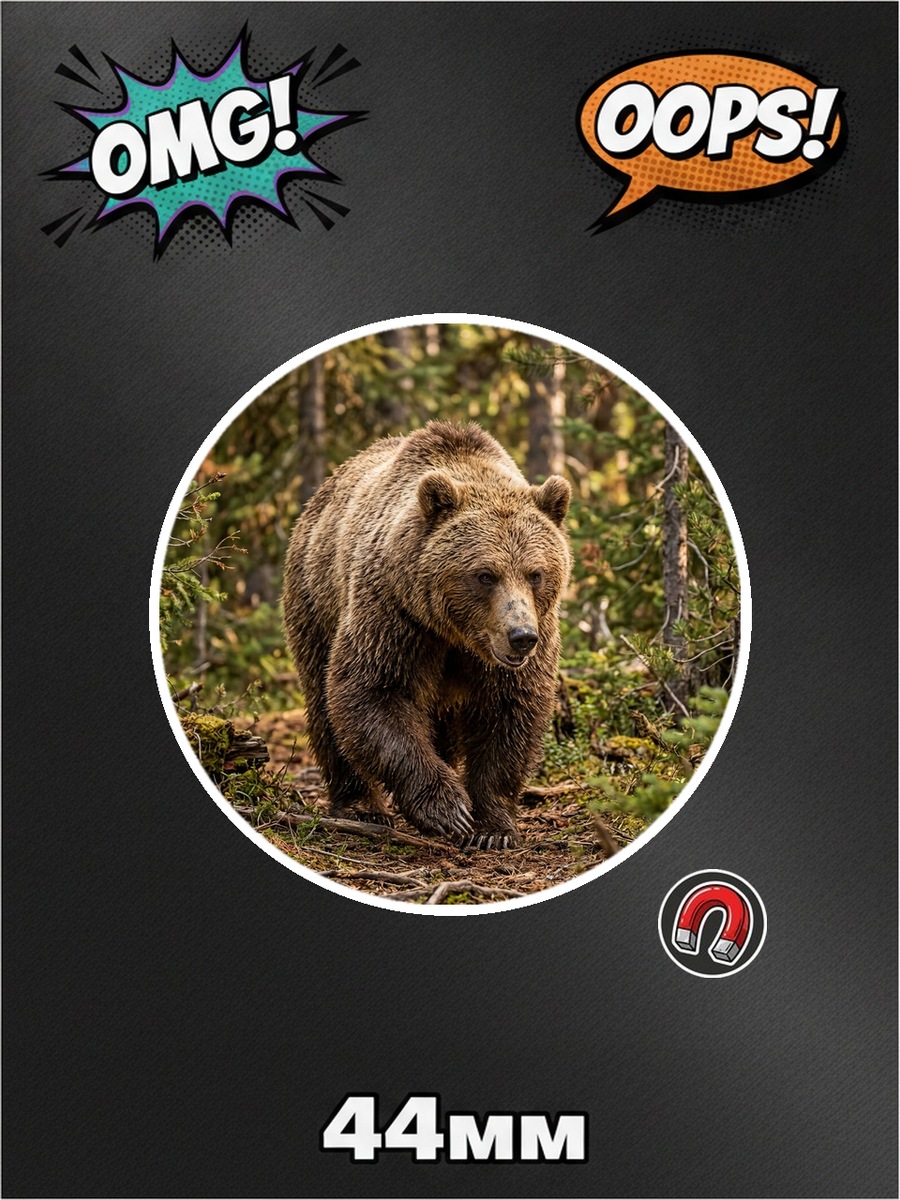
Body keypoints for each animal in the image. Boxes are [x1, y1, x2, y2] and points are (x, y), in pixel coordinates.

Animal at [282, 421, 572, 848]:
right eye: (485, 575)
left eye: (535, 573)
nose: (521, 636)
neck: (457, 633)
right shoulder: (395, 613)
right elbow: (374, 691)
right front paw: (447, 808)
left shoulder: (529, 637)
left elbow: (510, 711)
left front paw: (492, 826)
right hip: (315, 599)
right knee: (323, 701)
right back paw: (360, 805)